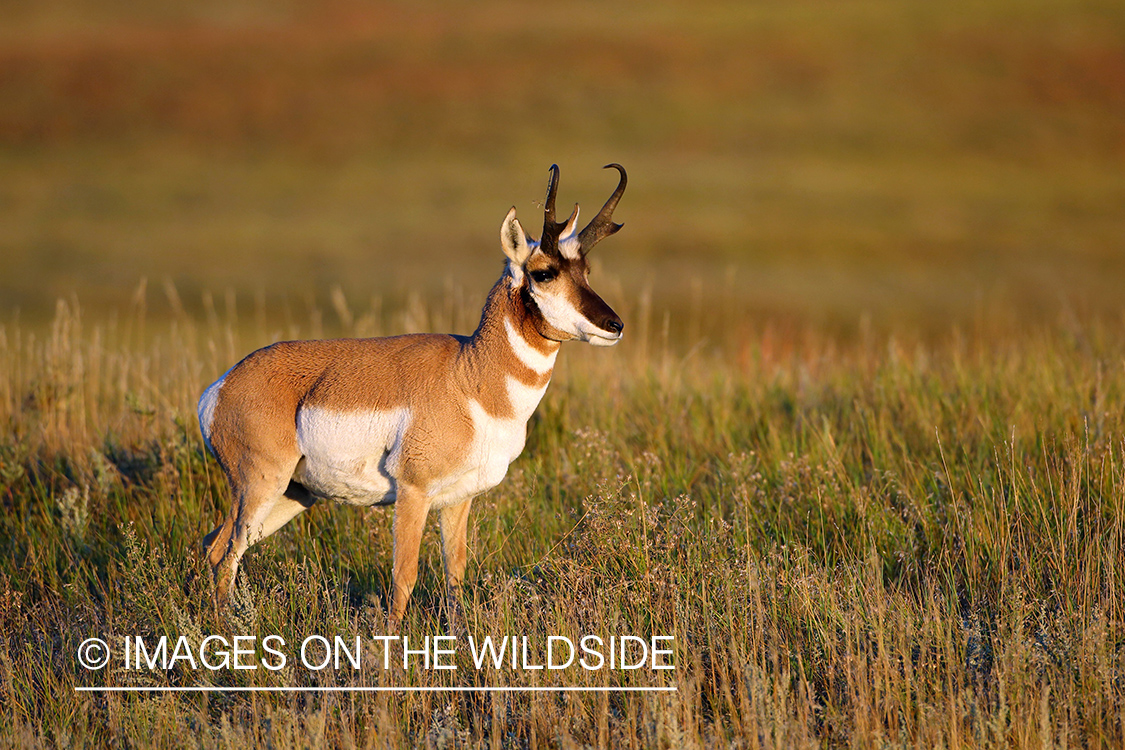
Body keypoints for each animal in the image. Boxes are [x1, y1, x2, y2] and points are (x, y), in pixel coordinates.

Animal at [200, 165, 625, 629]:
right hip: (261, 486)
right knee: (224, 554)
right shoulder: (412, 492)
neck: (470, 378)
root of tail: (221, 386)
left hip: (292, 494)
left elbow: (455, 575)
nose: (615, 324)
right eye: (545, 272)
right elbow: (404, 576)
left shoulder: (458, 499)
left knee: (213, 544)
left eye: (586, 269)